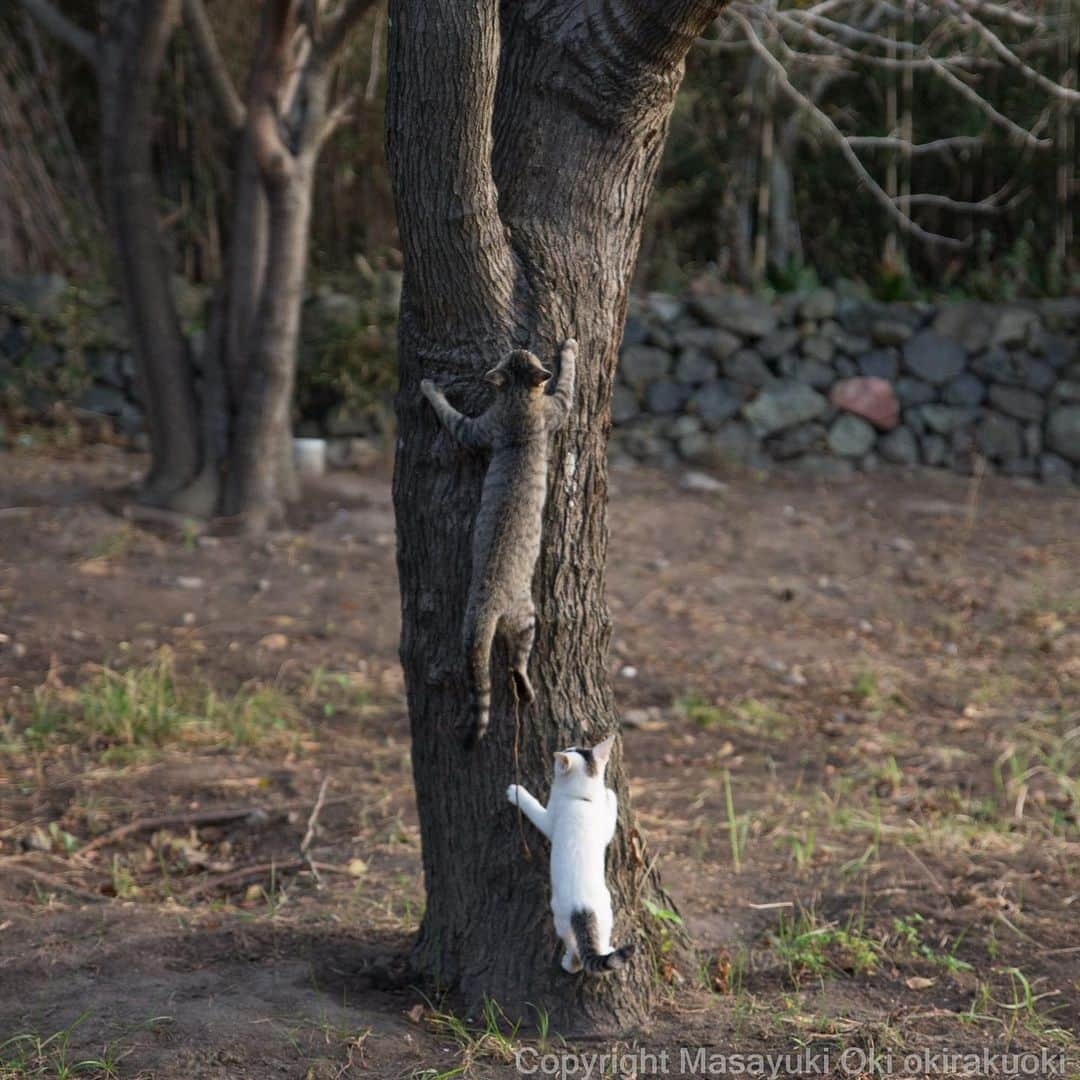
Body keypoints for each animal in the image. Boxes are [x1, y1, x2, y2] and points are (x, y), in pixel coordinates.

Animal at [505, 734, 630, 972]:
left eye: (568, 750)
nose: (562, 748)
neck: (581, 799)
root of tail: (582, 910)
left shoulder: (548, 820)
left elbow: (533, 806)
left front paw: (516, 792)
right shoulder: (604, 830)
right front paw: (609, 793)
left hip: (560, 918)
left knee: (577, 951)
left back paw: (569, 963)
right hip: (605, 912)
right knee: (595, 944)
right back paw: (606, 950)